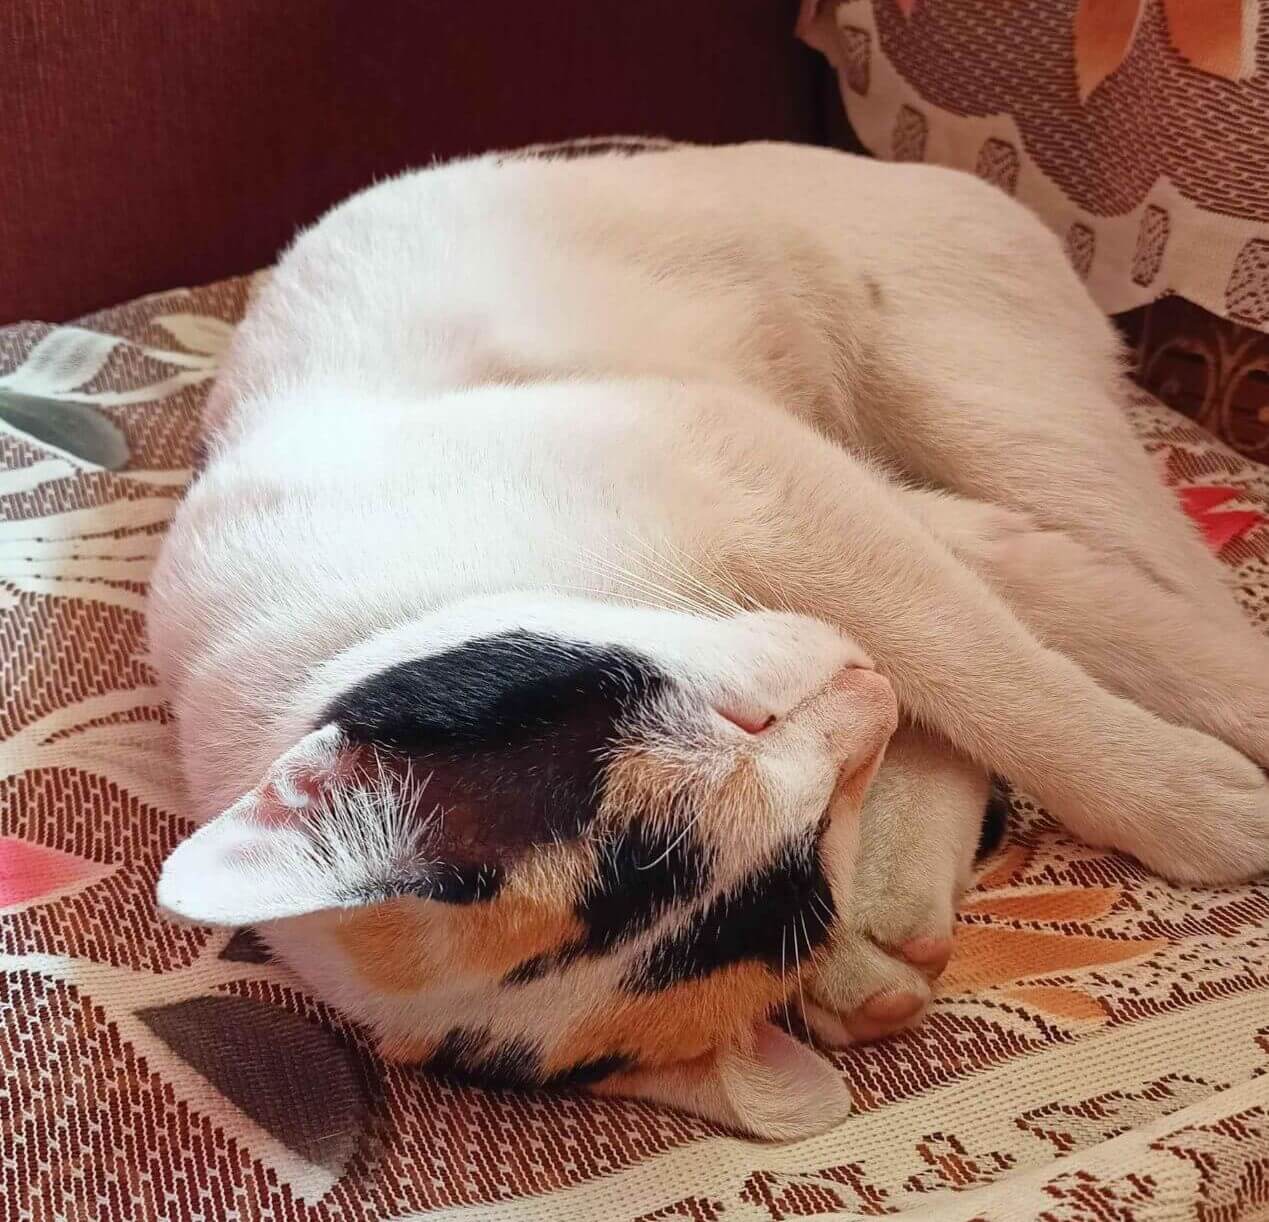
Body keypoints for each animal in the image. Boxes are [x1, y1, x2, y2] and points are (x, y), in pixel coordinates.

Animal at [151, 140, 1269, 1136]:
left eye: (733, 715)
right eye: (810, 861)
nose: (858, 690)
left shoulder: (765, 477)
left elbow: (1007, 673)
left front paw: (1192, 795)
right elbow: (980, 658)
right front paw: (853, 949)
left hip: (987, 415)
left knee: (1155, 582)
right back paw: (902, 902)